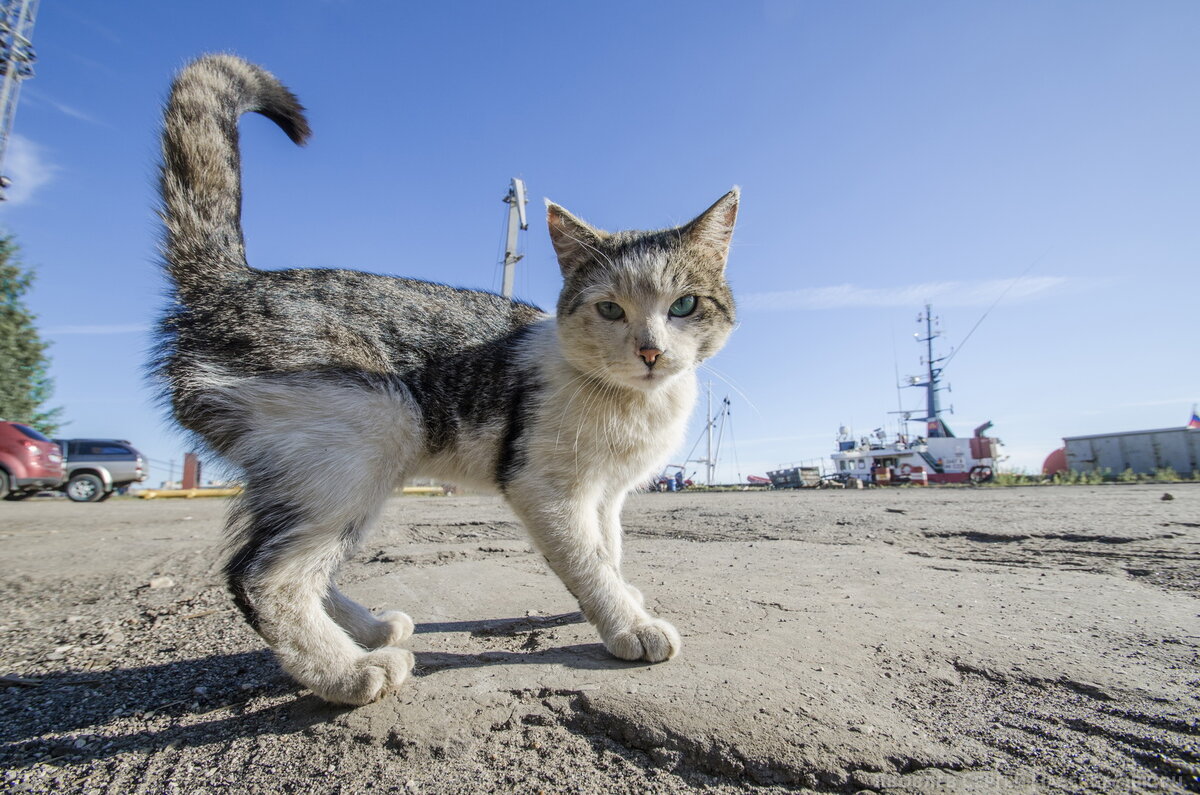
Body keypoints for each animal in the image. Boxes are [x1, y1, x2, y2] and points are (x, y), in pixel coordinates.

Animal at [154, 52, 734, 706]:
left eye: (684, 305)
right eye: (610, 309)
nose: (651, 351)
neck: (637, 404)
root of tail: (232, 283)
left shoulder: (606, 495)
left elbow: (607, 550)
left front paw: (620, 600)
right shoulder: (545, 489)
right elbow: (586, 560)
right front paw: (628, 626)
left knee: (294, 562)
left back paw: (368, 630)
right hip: (372, 431)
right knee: (261, 574)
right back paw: (349, 671)